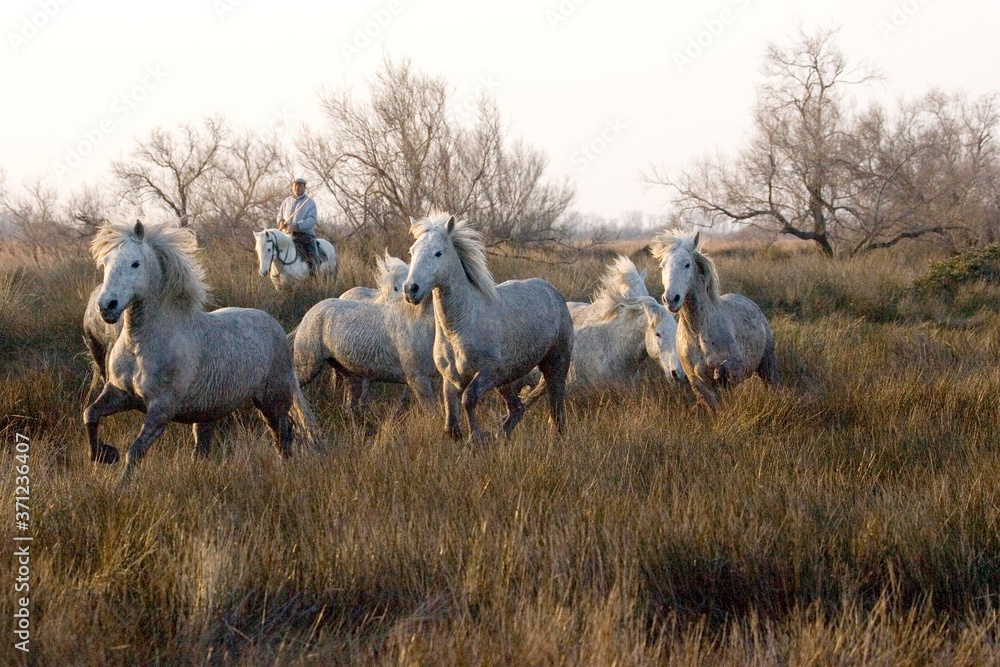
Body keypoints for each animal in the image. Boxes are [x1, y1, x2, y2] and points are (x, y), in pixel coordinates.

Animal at [85, 219, 320, 486]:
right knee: (204, 448)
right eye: (105, 263)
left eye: (135, 263)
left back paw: (284, 470)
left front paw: (119, 484)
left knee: (283, 434)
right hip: (208, 412)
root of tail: (275, 326)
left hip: (272, 400)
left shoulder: (161, 409)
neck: (141, 345)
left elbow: (134, 451)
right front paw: (104, 455)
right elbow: (89, 414)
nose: (106, 307)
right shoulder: (119, 393)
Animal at [402, 213, 574, 442]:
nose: (410, 289)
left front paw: (476, 438)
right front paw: (470, 437)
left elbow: (469, 399)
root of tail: (554, 293)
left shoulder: (489, 372)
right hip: (506, 380)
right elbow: (451, 425)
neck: (460, 325)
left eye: (438, 253)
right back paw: (500, 435)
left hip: (555, 363)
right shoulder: (452, 379)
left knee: (556, 409)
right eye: (412, 251)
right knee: (517, 409)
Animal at [650, 230, 778, 411]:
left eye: (687, 264)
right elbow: (715, 408)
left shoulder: (735, 369)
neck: (698, 332)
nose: (671, 299)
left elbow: (724, 372)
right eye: (662, 266)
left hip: (767, 365)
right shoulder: (698, 384)